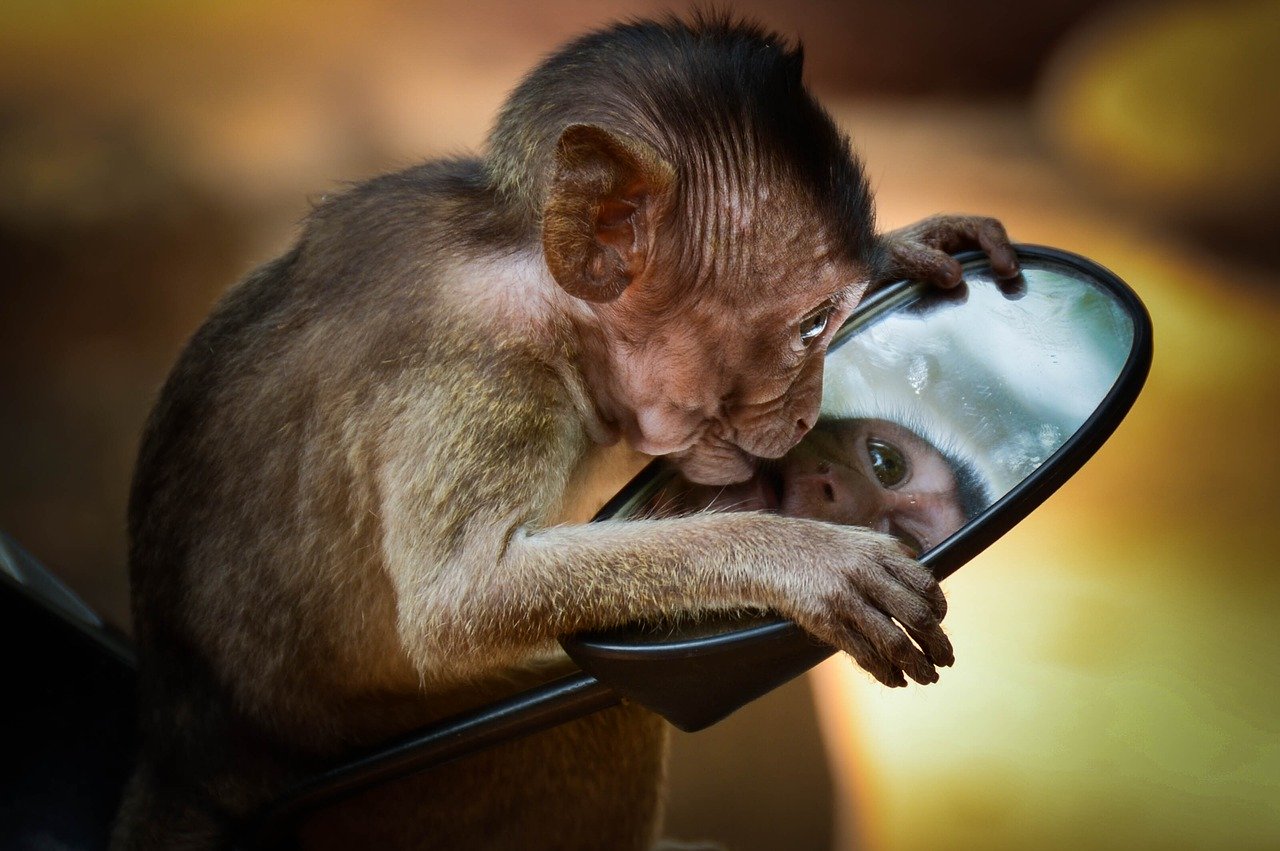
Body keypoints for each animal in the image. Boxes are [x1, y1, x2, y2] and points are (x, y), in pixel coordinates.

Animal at [115, 14, 1024, 849]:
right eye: (809, 327)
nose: (806, 413)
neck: (543, 289)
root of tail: (181, 759)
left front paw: (909, 245)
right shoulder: (481, 371)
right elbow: (461, 604)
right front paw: (805, 560)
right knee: (607, 712)